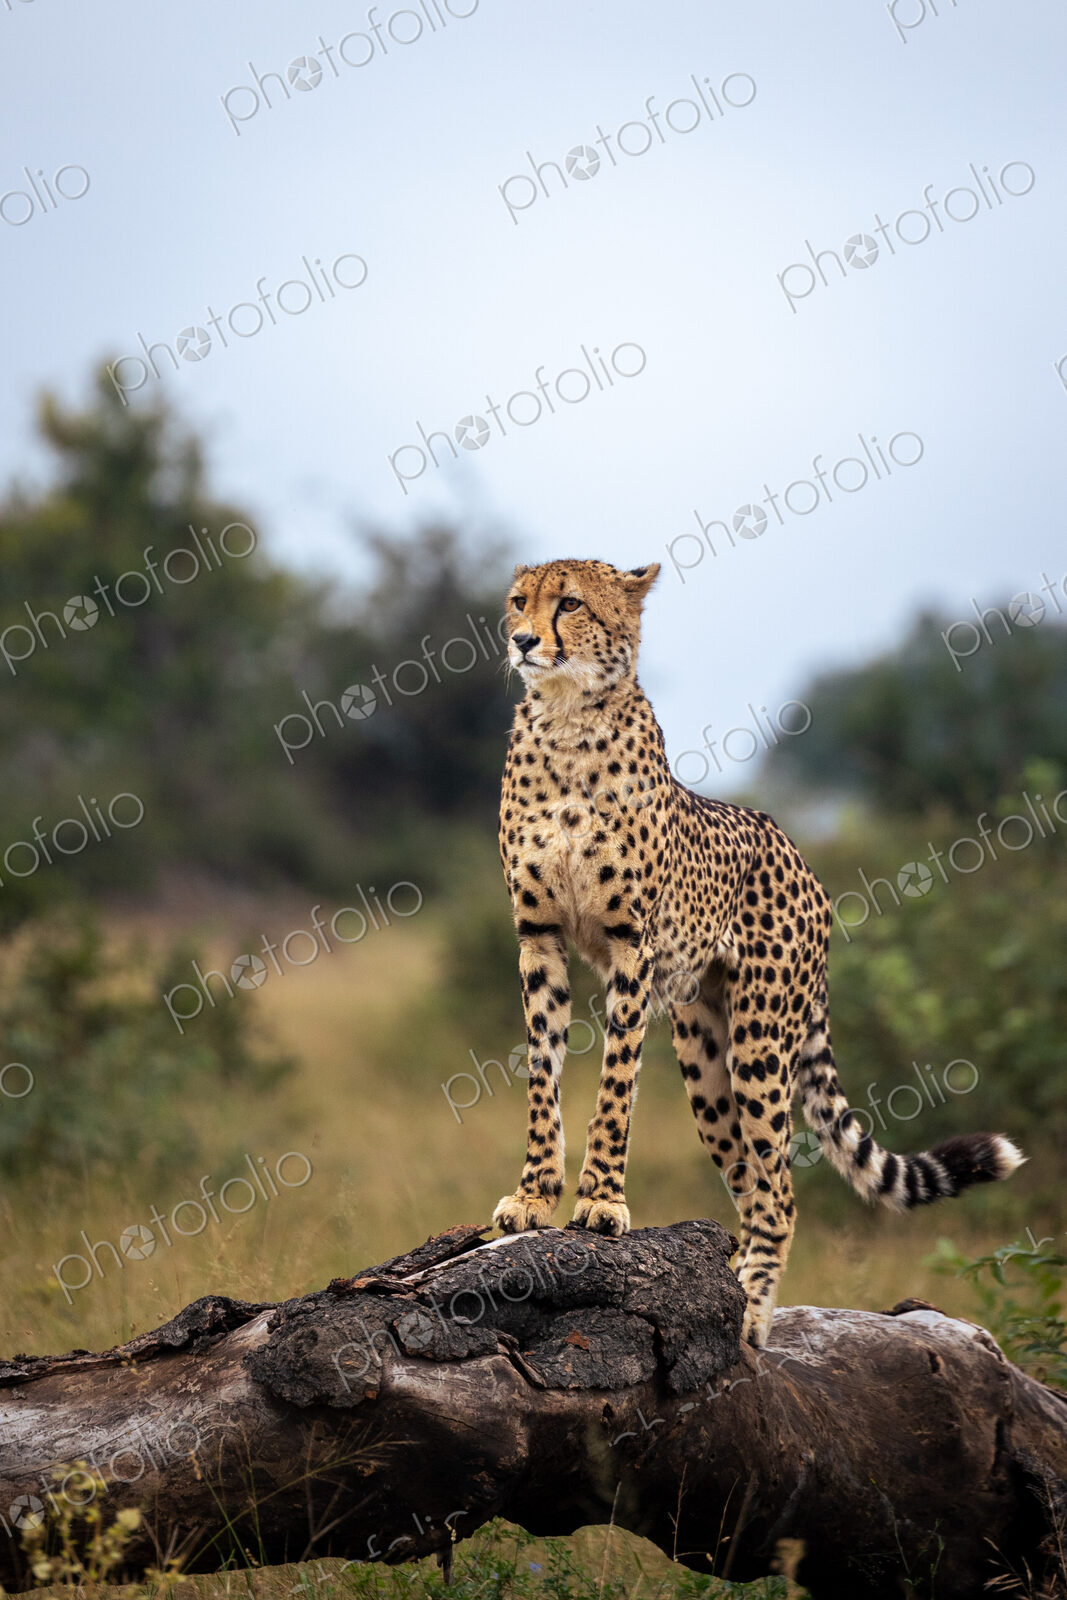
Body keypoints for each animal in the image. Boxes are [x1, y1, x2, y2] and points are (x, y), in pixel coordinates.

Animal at [491, 556, 1024, 1346]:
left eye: (570, 604)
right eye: (518, 601)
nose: (524, 640)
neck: (563, 718)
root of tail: (797, 851)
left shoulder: (631, 946)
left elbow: (614, 1083)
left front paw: (601, 1202)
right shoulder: (538, 936)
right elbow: (542, 1074)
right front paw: (533, 1195)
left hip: (759, 1041)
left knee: (780, 1192)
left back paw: (746, 1315)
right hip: (703, 1057)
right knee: (747, 1180)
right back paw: (728, 1292)